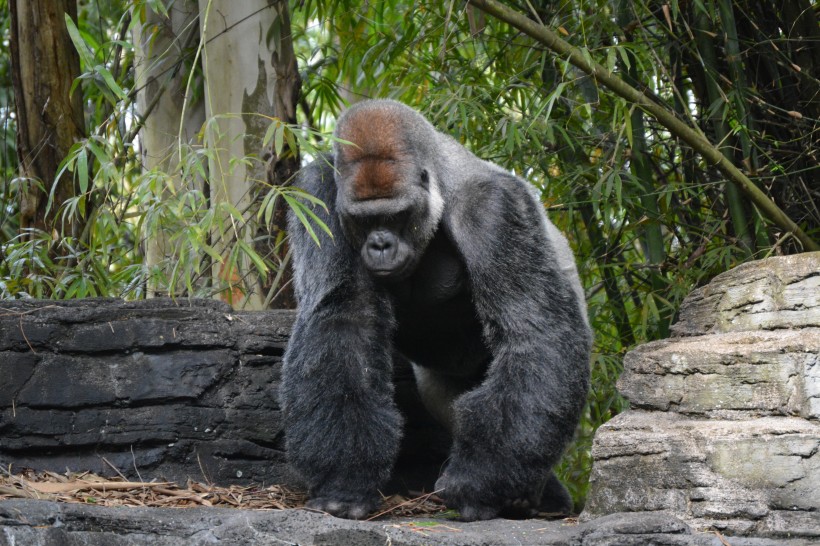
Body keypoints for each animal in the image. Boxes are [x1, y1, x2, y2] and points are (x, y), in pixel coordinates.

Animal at [278, 98, 592, 520]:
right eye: (363, 220)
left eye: (395, 216)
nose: (380, 245)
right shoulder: (317, 194)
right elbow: (344, 319)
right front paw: (344, 479)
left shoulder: (492, 206)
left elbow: (533, 329)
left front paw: (480, 482)